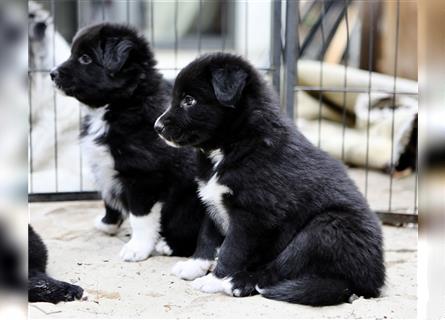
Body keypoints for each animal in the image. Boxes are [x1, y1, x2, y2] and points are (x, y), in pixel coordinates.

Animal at [51, 23, 206, 262]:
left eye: (85, 59)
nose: (52, 74)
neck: (122, 103)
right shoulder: (103, 167)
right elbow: (108, 199)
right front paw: (107, 224)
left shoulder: (143, 176)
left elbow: (140, 217)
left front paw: (136, 248)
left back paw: (168, 245)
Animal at [154, 53, 384, 306]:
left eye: (189, 100)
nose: (157, 127)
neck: (234, 143)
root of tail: (370, 281)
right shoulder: (210, 199)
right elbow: (206, 236)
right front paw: (195, 266)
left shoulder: (253, 215)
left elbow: (231, 249)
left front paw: (214, 279)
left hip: (325, 228)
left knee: (278, 269)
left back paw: (238, 283)